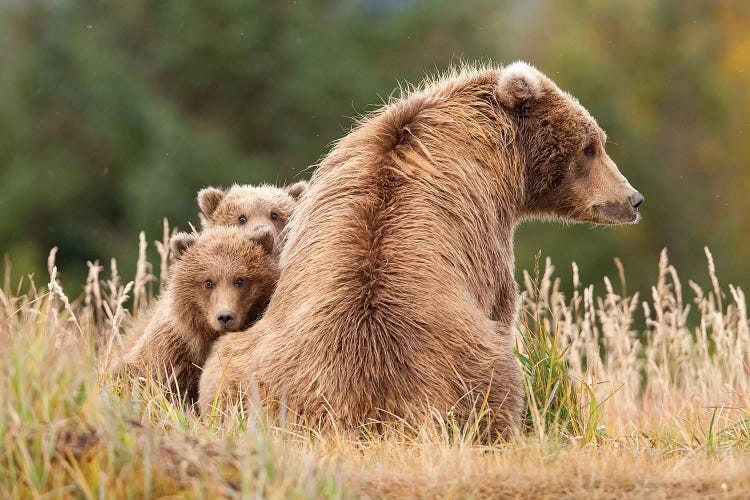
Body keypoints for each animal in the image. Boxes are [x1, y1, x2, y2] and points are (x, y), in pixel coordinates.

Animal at [197, 61, 644, 438]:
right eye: (591, 146)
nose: (633, 199)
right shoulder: (487, 236)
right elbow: (503, 302)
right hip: (463, 364)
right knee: (496, 385)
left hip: (248, 366)